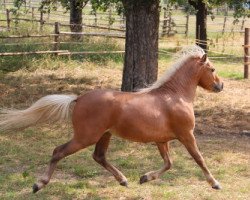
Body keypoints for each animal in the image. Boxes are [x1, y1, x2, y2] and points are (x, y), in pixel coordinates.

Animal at [0, 45, 223, 192]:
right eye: (212, 69)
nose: (220, 85)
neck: (175, 96)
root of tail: (78, 98)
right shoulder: (186, 135)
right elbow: (199, 159)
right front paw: (215, 183)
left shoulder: (162, 140)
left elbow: (168, 163)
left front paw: (144, 178)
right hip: (86, 137)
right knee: (58, 151)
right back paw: (39, 184)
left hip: (104, 135)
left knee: (99, 156)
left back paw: (123, 180)